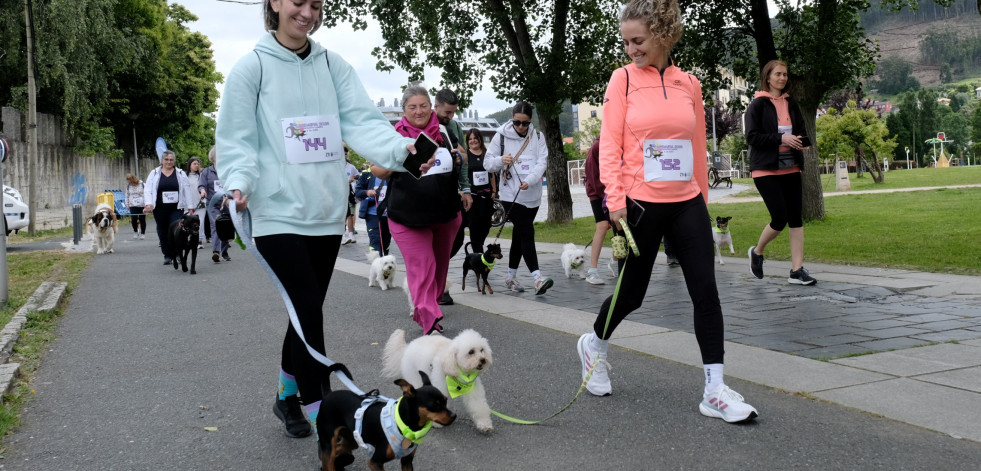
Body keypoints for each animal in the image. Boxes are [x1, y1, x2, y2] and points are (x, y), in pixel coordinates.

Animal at [318, 370, 456, 470]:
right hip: (330, 441)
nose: (454, 416)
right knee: (328, 459)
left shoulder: (406, 460)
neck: (403, 425)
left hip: (351, 440)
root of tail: (328, 393)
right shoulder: (375, 462)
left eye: (445, 400)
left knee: (334, 451)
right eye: (435, 405)